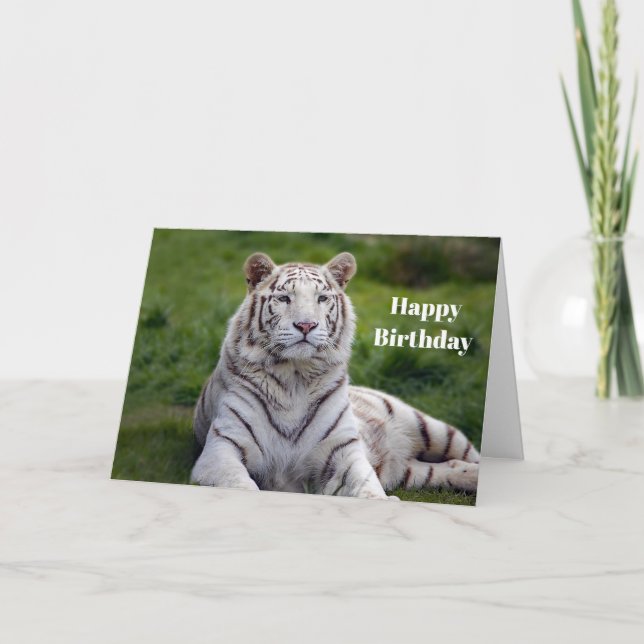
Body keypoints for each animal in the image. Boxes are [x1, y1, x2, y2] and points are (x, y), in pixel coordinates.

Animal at [191, 252, 480, 500]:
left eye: (322, 298)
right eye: (284, 298)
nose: (306, 325)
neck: (294, 376)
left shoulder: (343, 451)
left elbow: (366, 485)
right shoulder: (221, 449)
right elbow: (239, 484)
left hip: (431, 428)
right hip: (409, 470)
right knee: (444, 467)